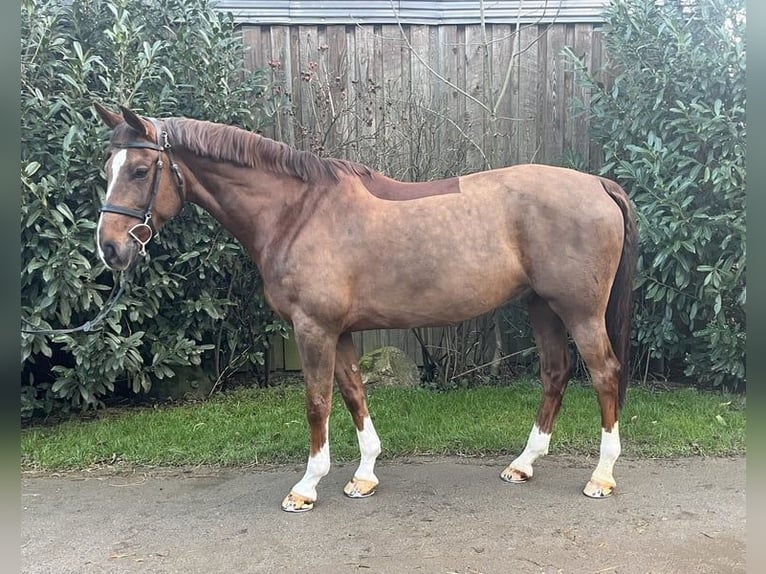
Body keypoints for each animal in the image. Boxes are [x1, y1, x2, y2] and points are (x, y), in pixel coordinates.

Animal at [93, 103, 638, 512]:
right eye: (107, 170)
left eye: (139, 170)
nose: (110, 249)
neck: (298, 211)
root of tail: (598, 184)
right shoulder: (342, 331)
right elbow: (354, 393)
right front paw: (364, 476)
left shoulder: (313, 328)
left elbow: (317, 401)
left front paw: (306, 487)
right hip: (541, 307)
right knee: (555, 373)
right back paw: (523, 464)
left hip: (579, 312)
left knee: (604, 374)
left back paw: (601, 476)